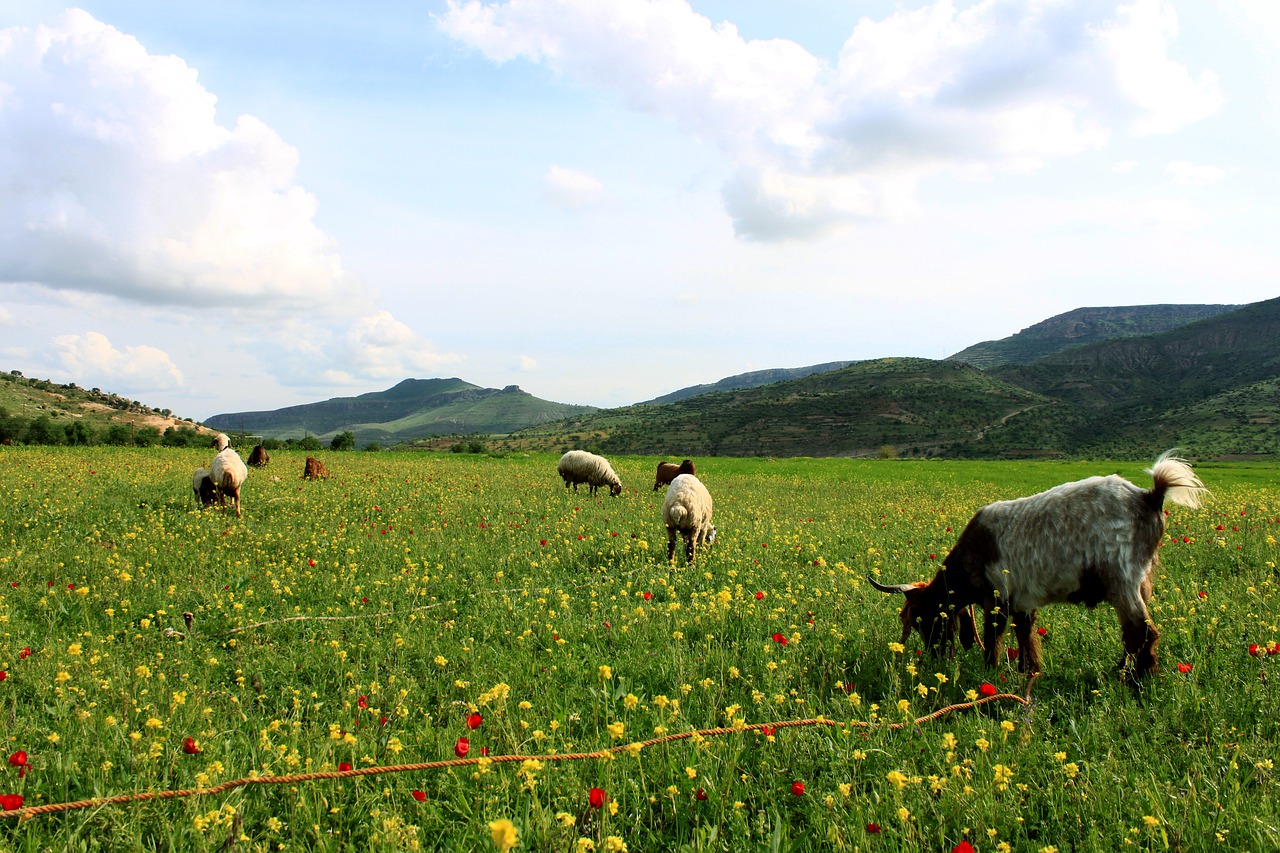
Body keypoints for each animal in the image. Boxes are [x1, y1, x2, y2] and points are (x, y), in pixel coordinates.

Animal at [870, 448, 1208, 681]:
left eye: (924, 619)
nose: (935, 655)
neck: (970, 557)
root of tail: (1150, 497)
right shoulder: (1022, 602)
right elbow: (1025, 635)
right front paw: (1028, 670)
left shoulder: (999, 598)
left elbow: (994, 639)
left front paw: (990, 673)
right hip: (1139, 582)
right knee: (1134, 633)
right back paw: (1122, 671)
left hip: (1121, 578)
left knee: (1142, 631)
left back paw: (1137, 680)